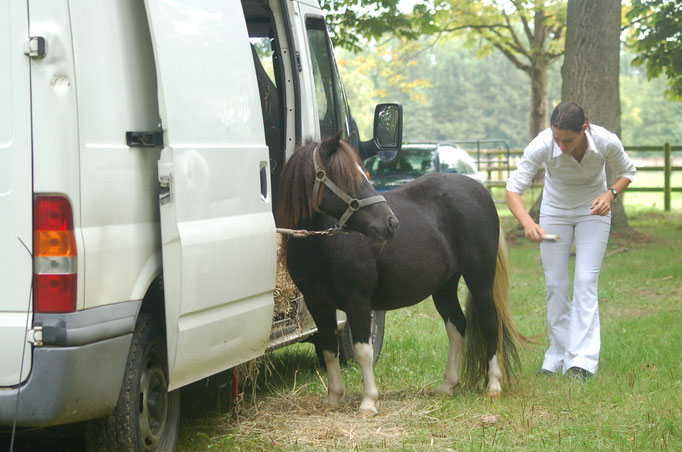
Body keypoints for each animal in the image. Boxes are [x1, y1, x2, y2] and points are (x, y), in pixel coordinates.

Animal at [276, 132, 524, 414]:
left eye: (362, 174)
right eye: (347, 179)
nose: (390, 223)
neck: (321, 245)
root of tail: (481, 191)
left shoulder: (357, 302)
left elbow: (363, 352)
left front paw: (369, 401)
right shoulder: (317, 304)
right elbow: (329, 350)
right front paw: (334, 397)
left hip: (480, 280)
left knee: (491, 324)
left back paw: (494, 385)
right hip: (445, 287)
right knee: (457, 326)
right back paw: (447, 386)